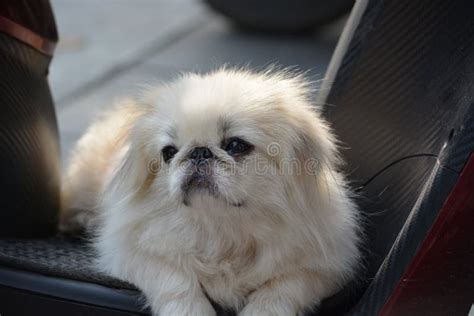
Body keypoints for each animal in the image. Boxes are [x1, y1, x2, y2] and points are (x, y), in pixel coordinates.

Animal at [59, 69, 360, 316]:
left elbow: (280, 290)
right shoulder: (132, 252)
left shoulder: (322, 267)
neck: (220, 229)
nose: (198, 151)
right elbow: (175, 279)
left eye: (236, 145)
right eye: (169, 152)